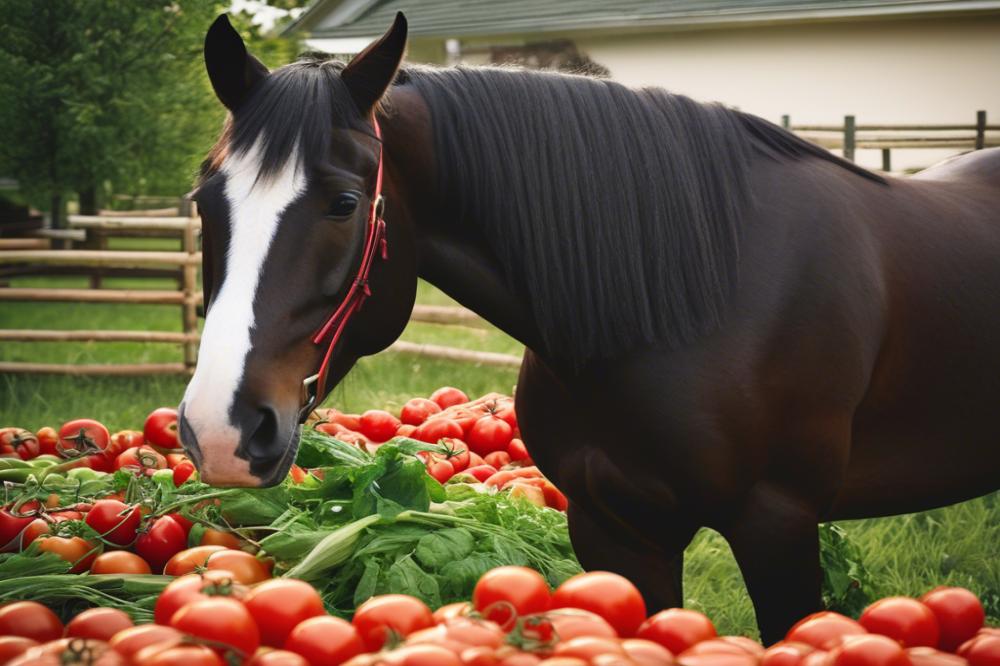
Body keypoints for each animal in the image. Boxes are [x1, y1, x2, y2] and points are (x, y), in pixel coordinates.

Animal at [180, 13, 1000, 640]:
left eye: (345, 203)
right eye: (204, 200)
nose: (222, 429)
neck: (685, 303)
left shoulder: (780, 527)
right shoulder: (613, 529)